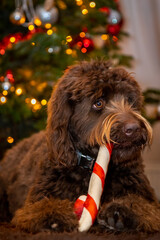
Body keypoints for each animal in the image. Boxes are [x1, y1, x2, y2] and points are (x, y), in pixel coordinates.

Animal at [0, 59, 160, 232]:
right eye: (98, 103)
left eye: (129, 100)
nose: (134, 128)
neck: (89, 166)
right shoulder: (35, 201)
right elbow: (42, 207)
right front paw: (55, 216)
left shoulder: (148, 199)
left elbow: (142, 206)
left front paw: (121, 210)